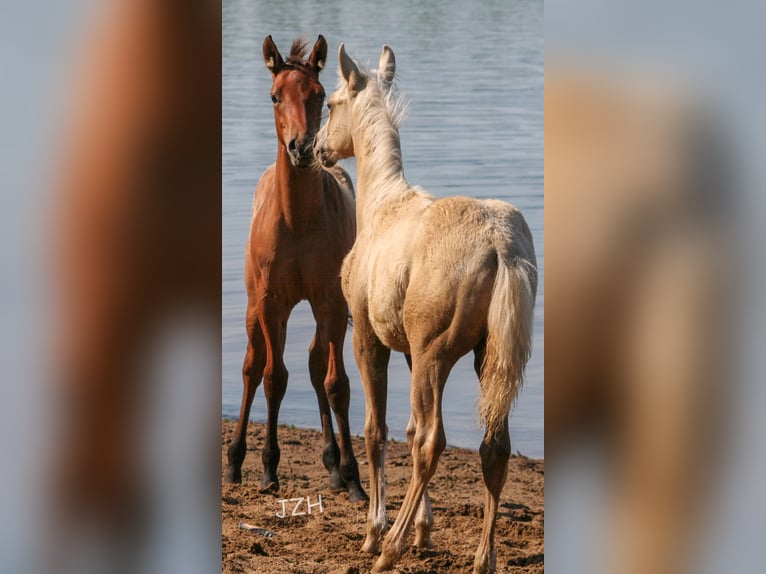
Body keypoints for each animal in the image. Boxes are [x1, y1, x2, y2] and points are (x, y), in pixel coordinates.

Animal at [222, 36, 368, 504]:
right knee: (253, 366)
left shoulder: (332, 304)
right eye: (274, 96)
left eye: (319, 96)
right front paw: (269, 469)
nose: (302, 148)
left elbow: (336, 383)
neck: (299, 221)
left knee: (316, 363)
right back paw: (235, 463)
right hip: (256, 307)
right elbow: (273, 377)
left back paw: (333, 464)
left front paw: (353, 477)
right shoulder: (271, 303)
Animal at [316, 45, 536, 574]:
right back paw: (482, 558)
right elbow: (408, 426)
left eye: (330, 104)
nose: (311, 148)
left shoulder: (368, 339)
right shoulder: (410, 351)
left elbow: (377, 430)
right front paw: (423, 529)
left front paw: (375, 532)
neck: (382, 207)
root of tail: (501, 245)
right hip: (483, 358)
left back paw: (389, 548)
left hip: (437, 357)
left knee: (430, 443)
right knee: (493, 447)